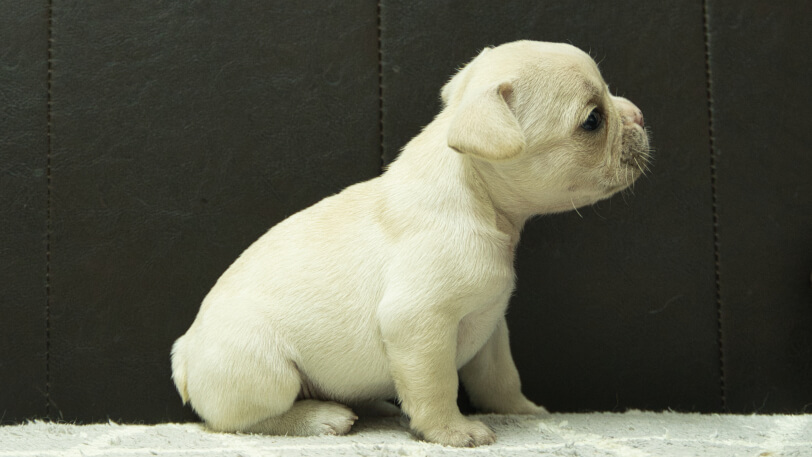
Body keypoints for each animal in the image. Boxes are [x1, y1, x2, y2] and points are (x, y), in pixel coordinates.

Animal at [170, 39, 648, 446]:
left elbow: (500, 377)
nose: (639, 114)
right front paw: (452, 431)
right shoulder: (421, 324)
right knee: (241, 421)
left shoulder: (491, 324)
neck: (478, 194)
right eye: (593, 120)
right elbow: (437, 385)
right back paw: (321, 417)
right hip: (266, 370)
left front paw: (525, 410)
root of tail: (184, 355)